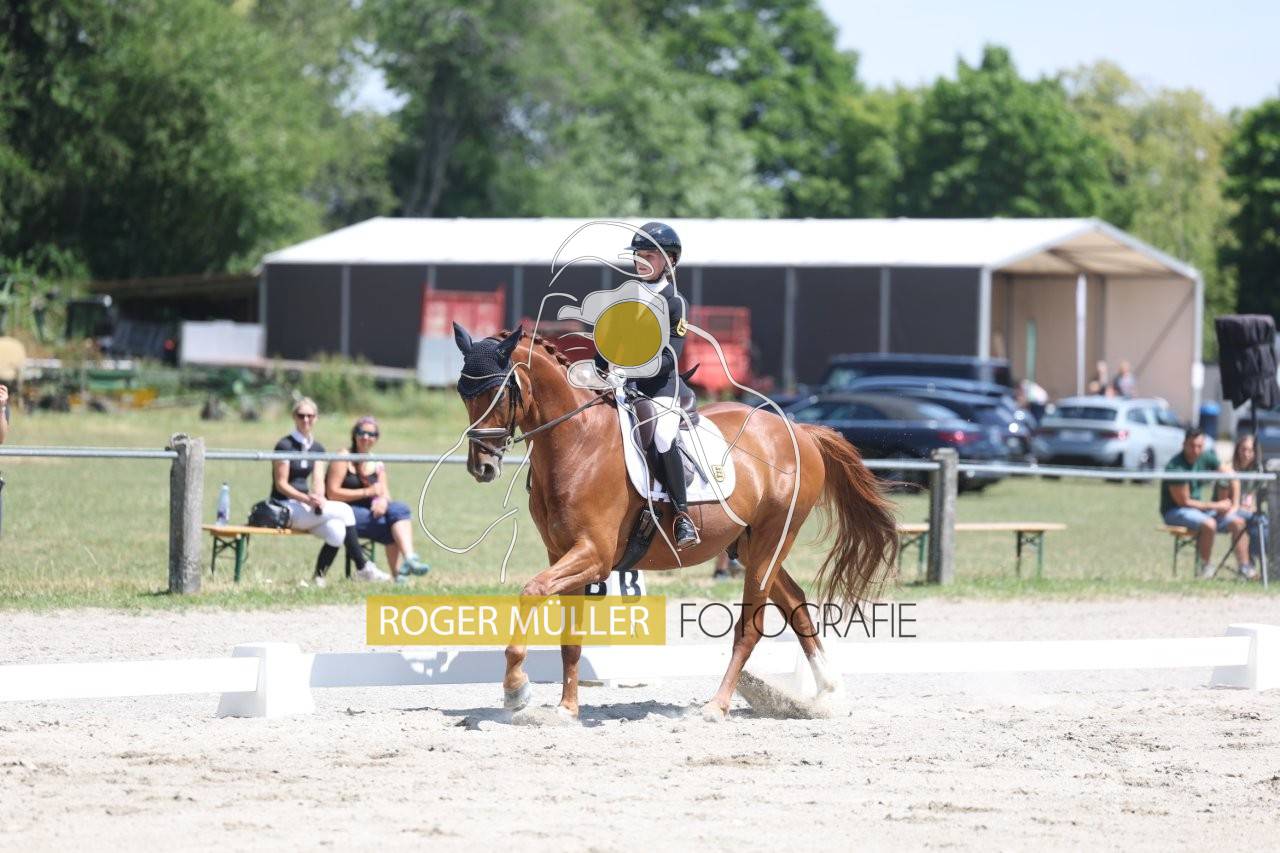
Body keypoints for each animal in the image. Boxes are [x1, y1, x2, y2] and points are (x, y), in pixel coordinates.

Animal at [452, 323, 898, 721]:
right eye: (463, 392)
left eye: (498, 391)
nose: (481, 466)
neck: (577, 442)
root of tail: (799, 429)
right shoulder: (562, 553)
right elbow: (569, 638)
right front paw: (566, 709)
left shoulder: (593, 555)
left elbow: (531, 591)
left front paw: (515, 690)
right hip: (750, 545)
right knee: (796, 604)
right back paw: (828, 694)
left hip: (771, 541)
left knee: (750, 628)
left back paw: (717, 706)